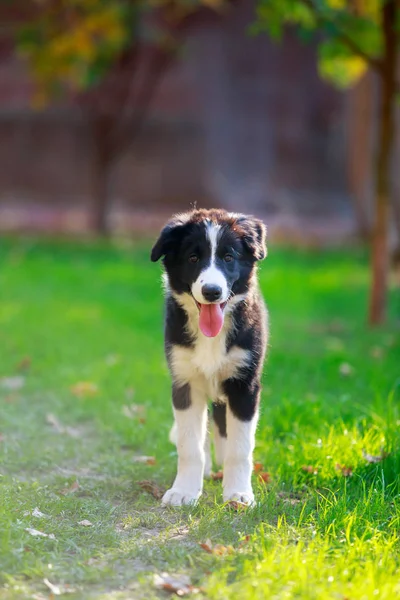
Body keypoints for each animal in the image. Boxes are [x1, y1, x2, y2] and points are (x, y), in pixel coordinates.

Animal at [152, 209, 268, 504]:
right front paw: (184, 491)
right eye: (193, 258)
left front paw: (238, 493)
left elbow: (240, 447)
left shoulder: (245, 385)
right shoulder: (185, 382)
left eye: (228, 257)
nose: (212, 292)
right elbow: (189, 445)